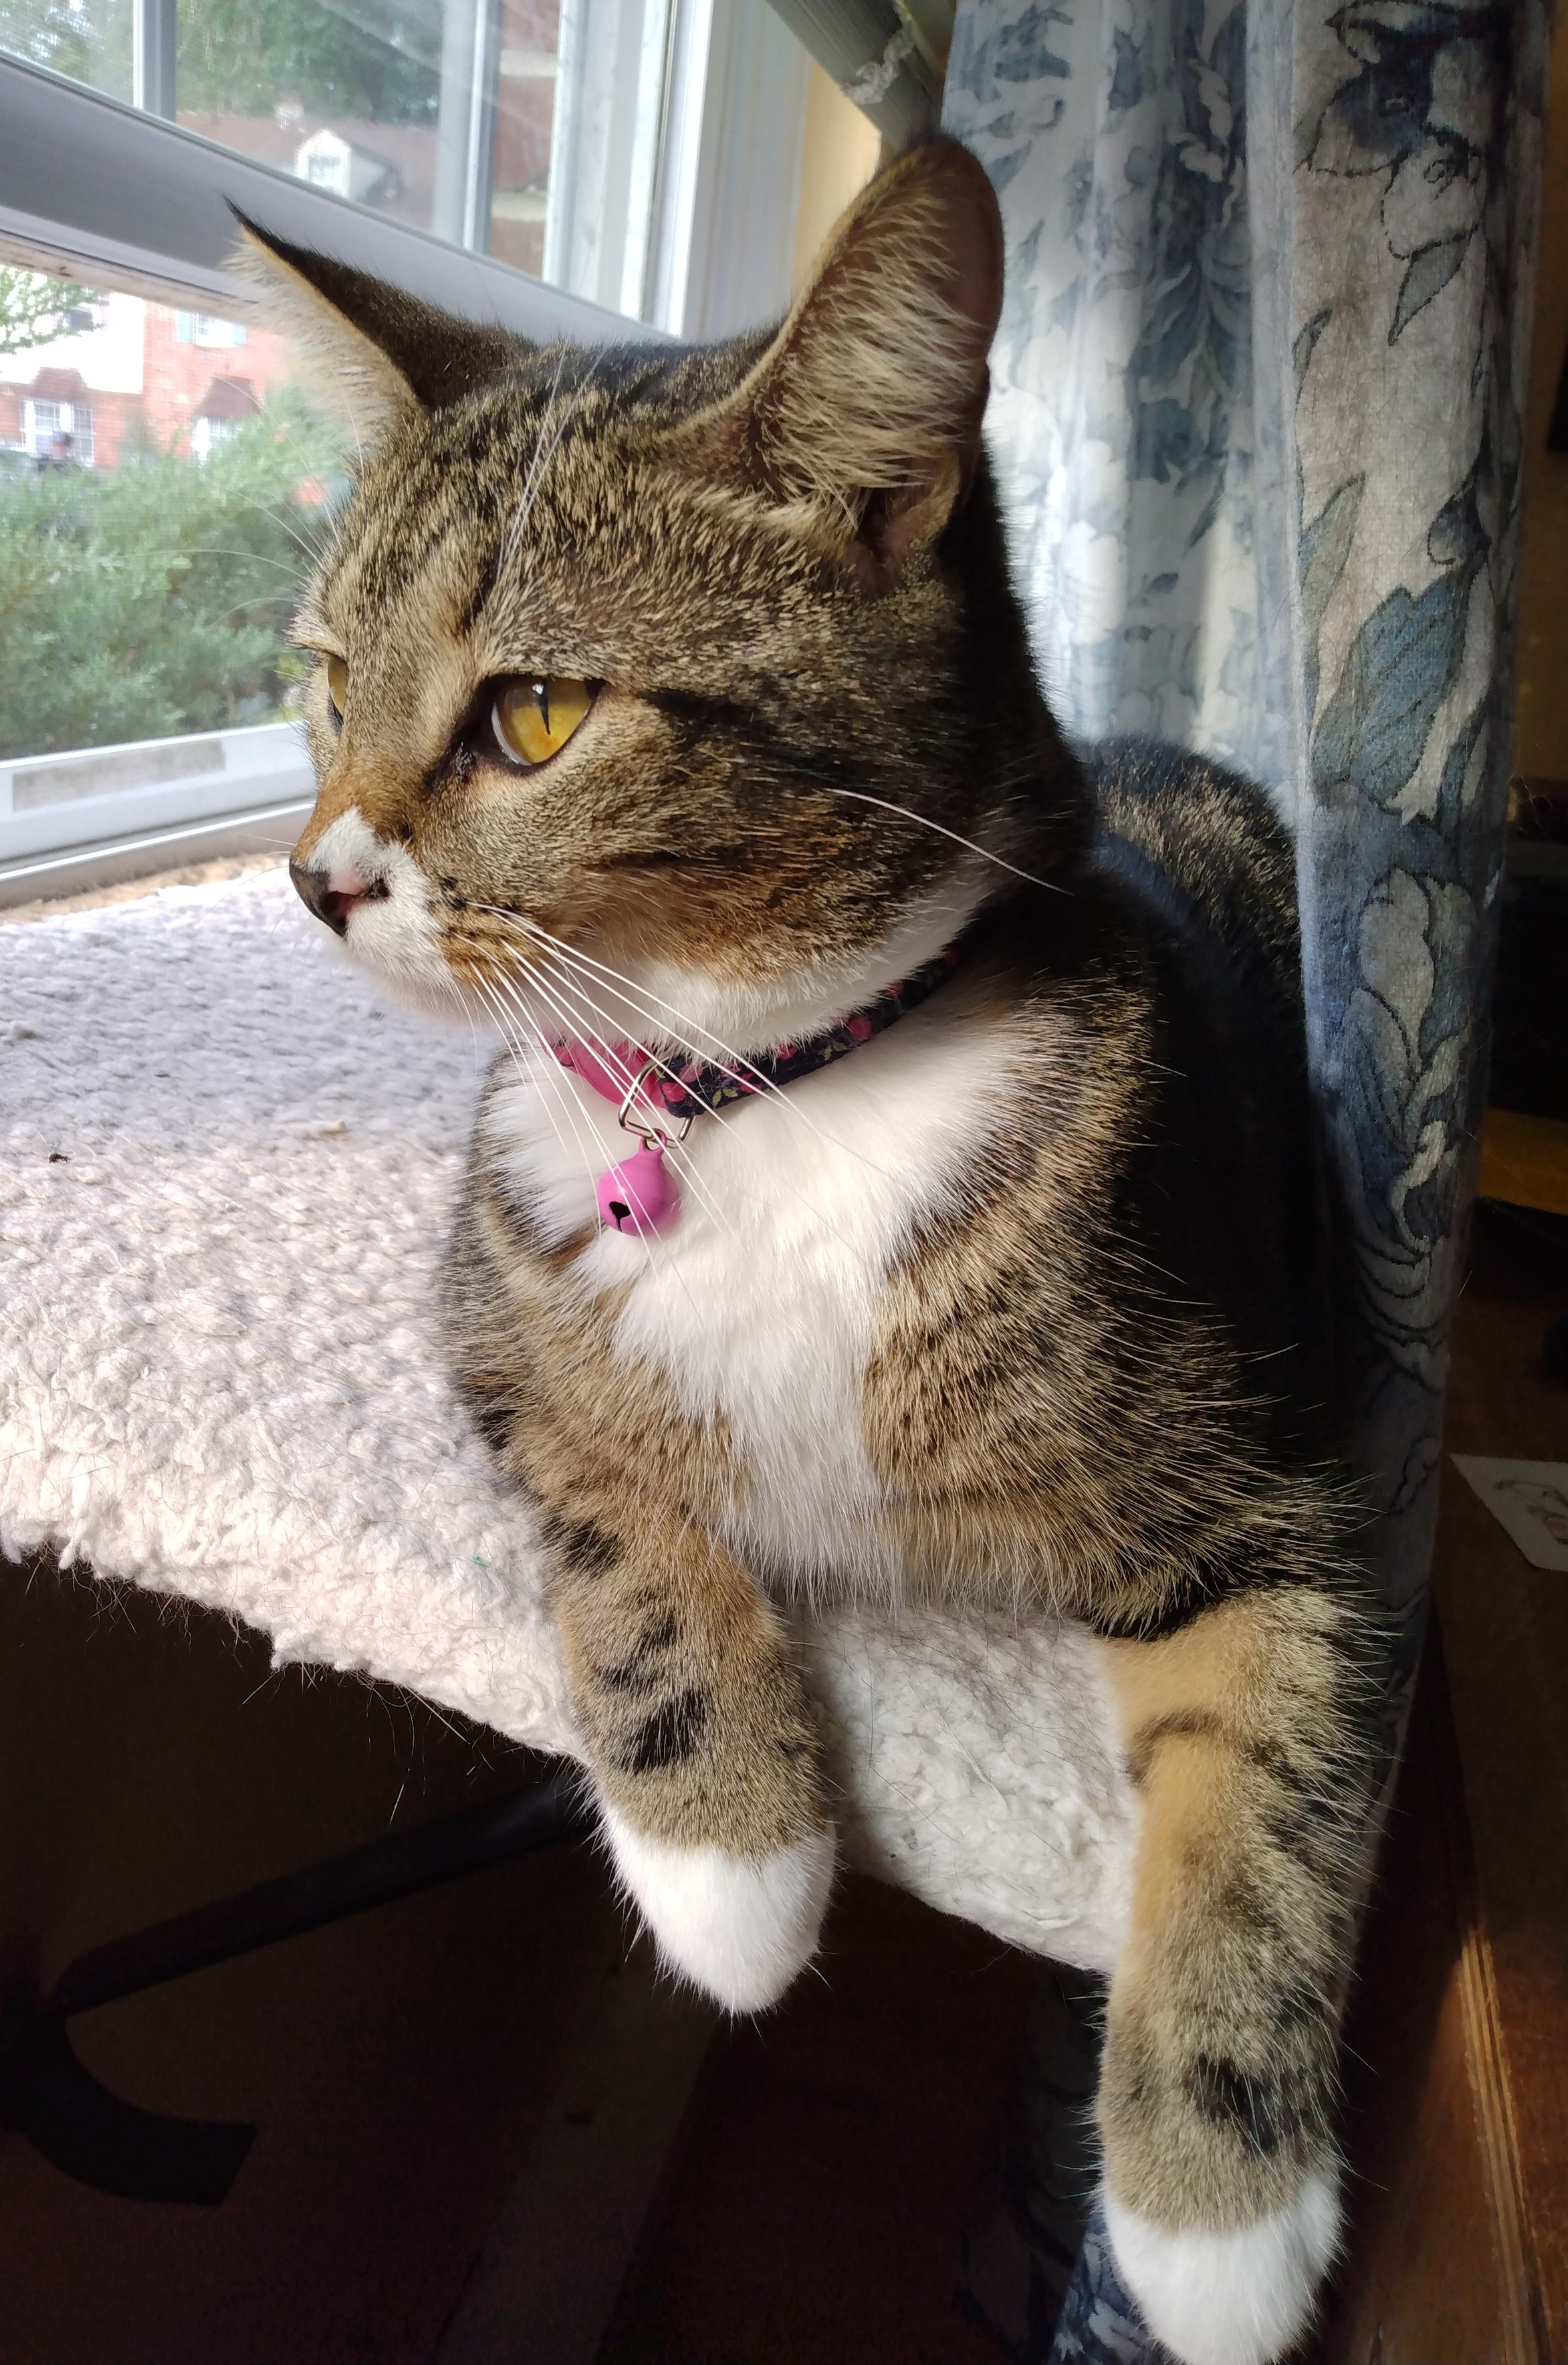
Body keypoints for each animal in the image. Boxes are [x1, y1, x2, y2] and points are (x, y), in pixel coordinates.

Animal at [254, 142, 1390, 2365]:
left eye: (532, 714)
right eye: (328, 680)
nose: (320, 875)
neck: (757, 1096)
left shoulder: (1259, 1472)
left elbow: (1270, 1786)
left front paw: (1215, 2224)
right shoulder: (498, 1308)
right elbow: (615, 1520)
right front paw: (734, 1866)